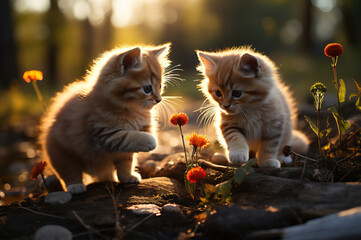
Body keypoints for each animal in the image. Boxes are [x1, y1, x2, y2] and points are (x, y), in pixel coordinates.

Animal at [38, 43, 171, 194]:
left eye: (160, 86)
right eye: (147, 89)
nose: (159, 100)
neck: (132, 110)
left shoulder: (124, 150)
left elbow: (126, 161)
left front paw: (127, 177)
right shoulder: (103, 133)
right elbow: (128, 136)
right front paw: (150, 141)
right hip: (61, 152)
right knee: (69, 170)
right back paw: (75, 186)